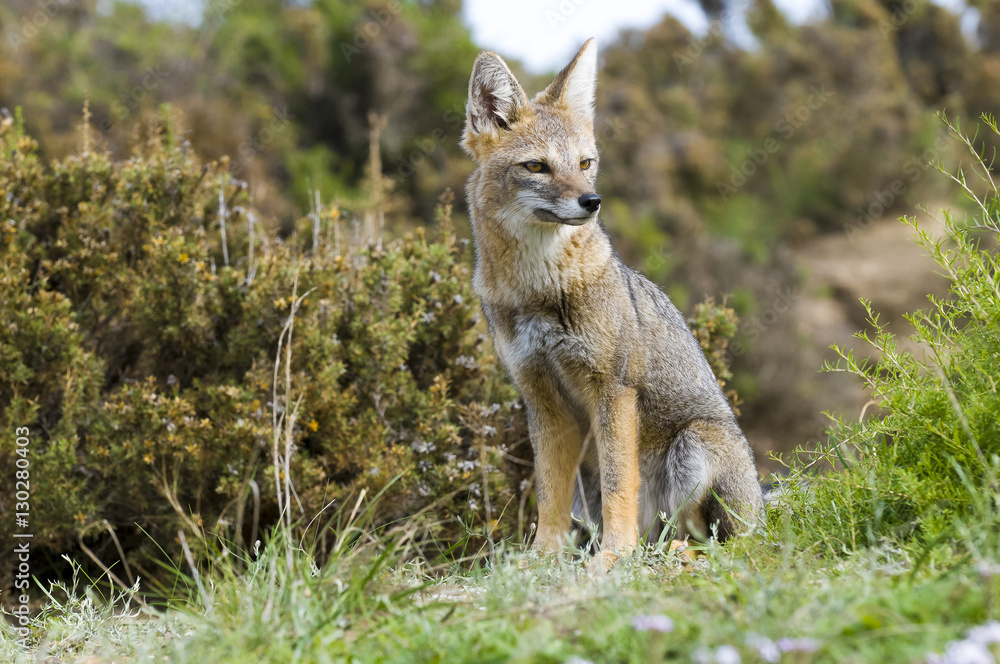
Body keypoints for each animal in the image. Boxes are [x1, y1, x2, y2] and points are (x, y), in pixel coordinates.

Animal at [461, 39, 764, 562]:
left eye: (585, 163)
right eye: (536, 166)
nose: (592, 201)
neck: (540, 289)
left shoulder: (614, 389)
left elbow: (621, 482)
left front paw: (613, 557)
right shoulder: (540, 398)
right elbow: (549, 492)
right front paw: (542, 558)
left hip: (693, 448)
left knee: (719, 542)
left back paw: (663, 552)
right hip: (593, 485)